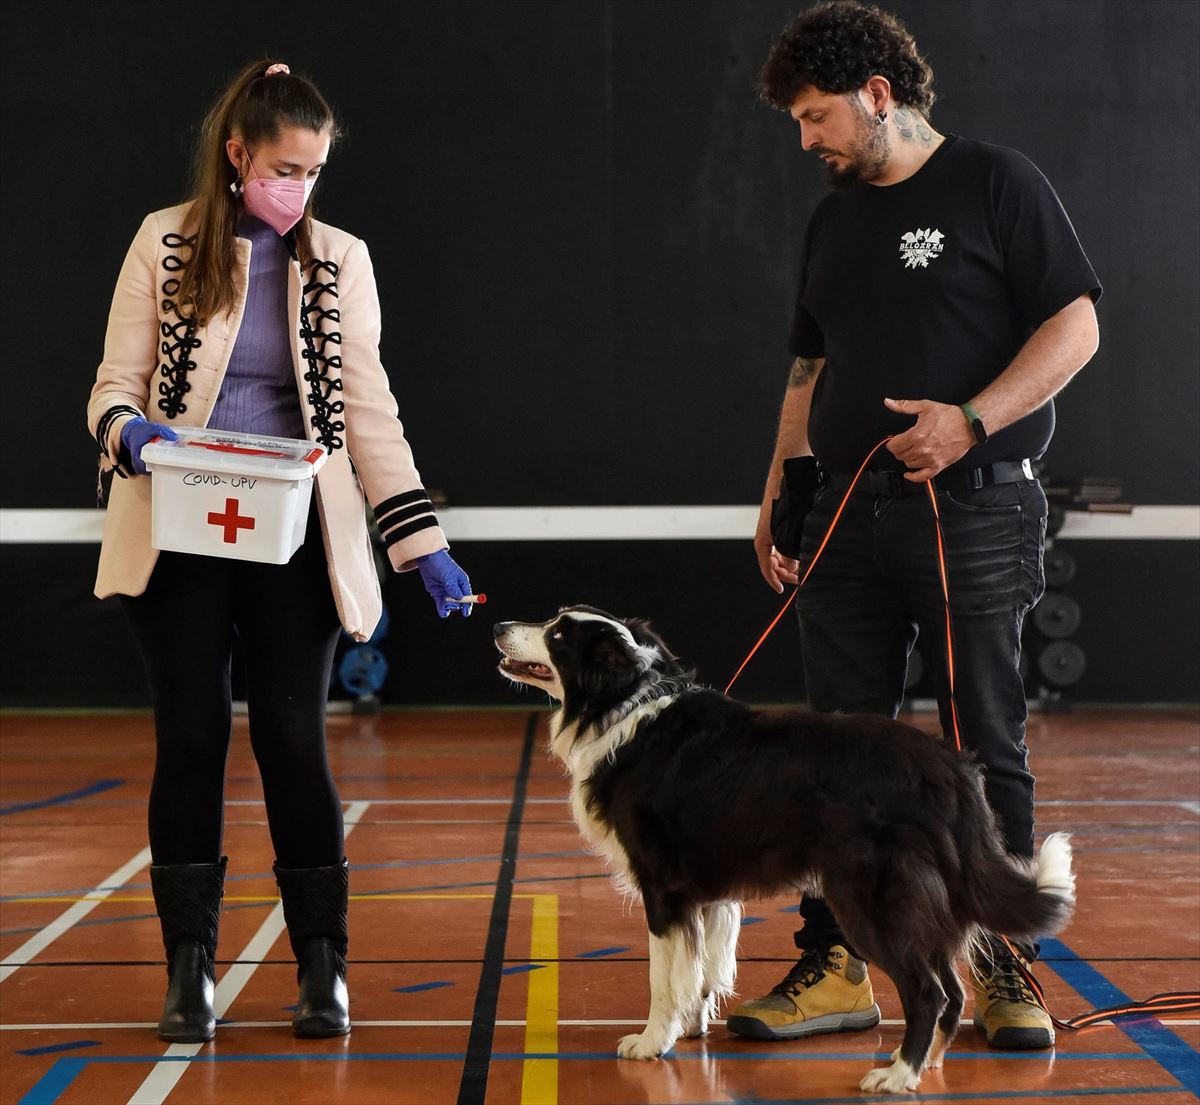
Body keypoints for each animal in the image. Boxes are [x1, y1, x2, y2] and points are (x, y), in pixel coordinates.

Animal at [492, 607, 1075, 1089]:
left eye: (557, 633)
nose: (497, 626)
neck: (622, 705)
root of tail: (947, 768)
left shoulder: (662, 886)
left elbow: (664, 975)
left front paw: (651, 1041)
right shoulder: (703, 893)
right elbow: (699, 969)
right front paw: (690, 1030)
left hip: (870, 897)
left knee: (927, 991)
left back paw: (897, 1075)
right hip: (925, 900)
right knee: (950, 988)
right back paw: (925, 1061)